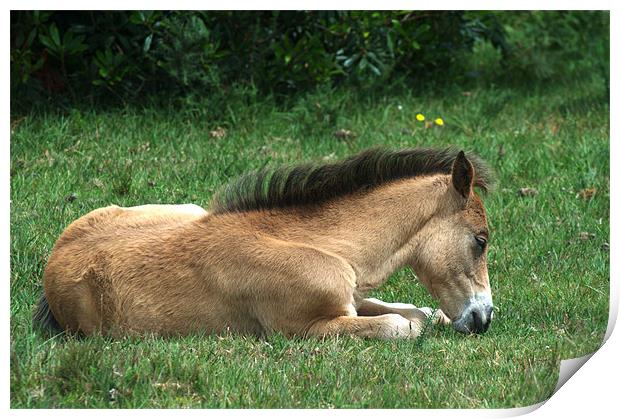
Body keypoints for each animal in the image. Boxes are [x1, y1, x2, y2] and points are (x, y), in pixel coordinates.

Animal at [35, 149, 498, 340]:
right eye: (481, 240)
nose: (483, 318)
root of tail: (55, 258)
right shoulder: (302, 328)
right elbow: (404, 325)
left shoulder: (349, 297)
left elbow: (417, 310)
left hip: (189, 208)